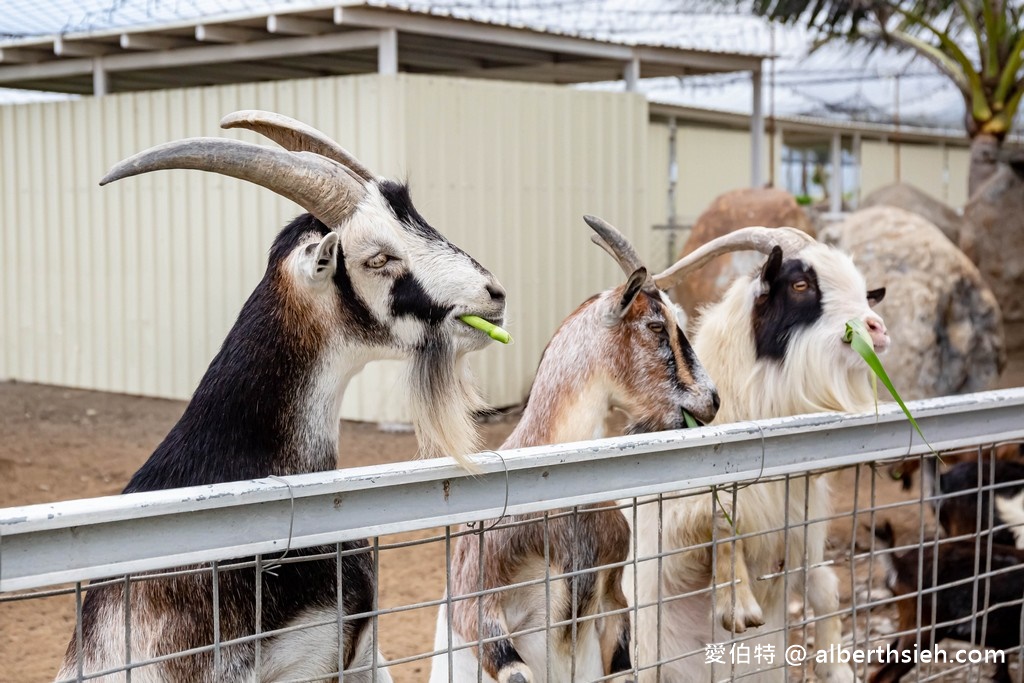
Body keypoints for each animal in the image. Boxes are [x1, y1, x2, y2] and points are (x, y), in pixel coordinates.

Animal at [622, 228, 888, 683]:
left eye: (863, 291)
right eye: (800, 284)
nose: (877, 328)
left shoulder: (802, 526)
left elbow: (825, 586)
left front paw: (837, 667)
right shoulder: (669, 534)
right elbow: (720, 517)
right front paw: (738, 604)